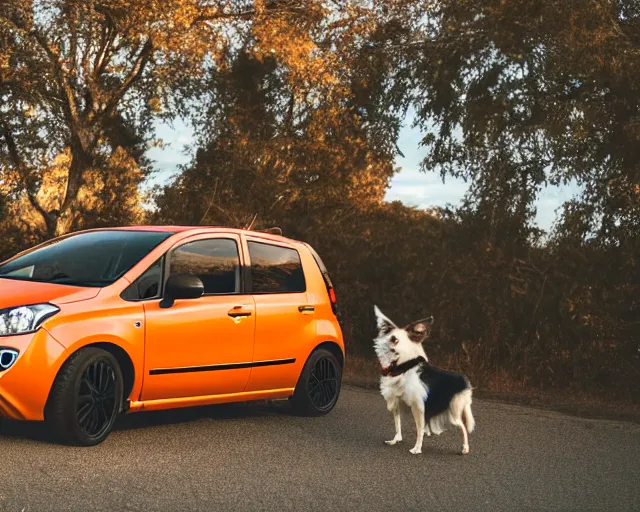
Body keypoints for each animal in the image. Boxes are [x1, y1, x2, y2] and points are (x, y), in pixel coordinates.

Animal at [372, 306, 472, 454]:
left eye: (395, 340)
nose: (381, 345)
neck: (404, 367)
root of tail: (465, 383)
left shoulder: (418, 407)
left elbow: (419, 430)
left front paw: (417, 449)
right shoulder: (397, 403)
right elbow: (398, 425)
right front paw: (396, 440)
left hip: (453, 412)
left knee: (463, 427)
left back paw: (465, 448)